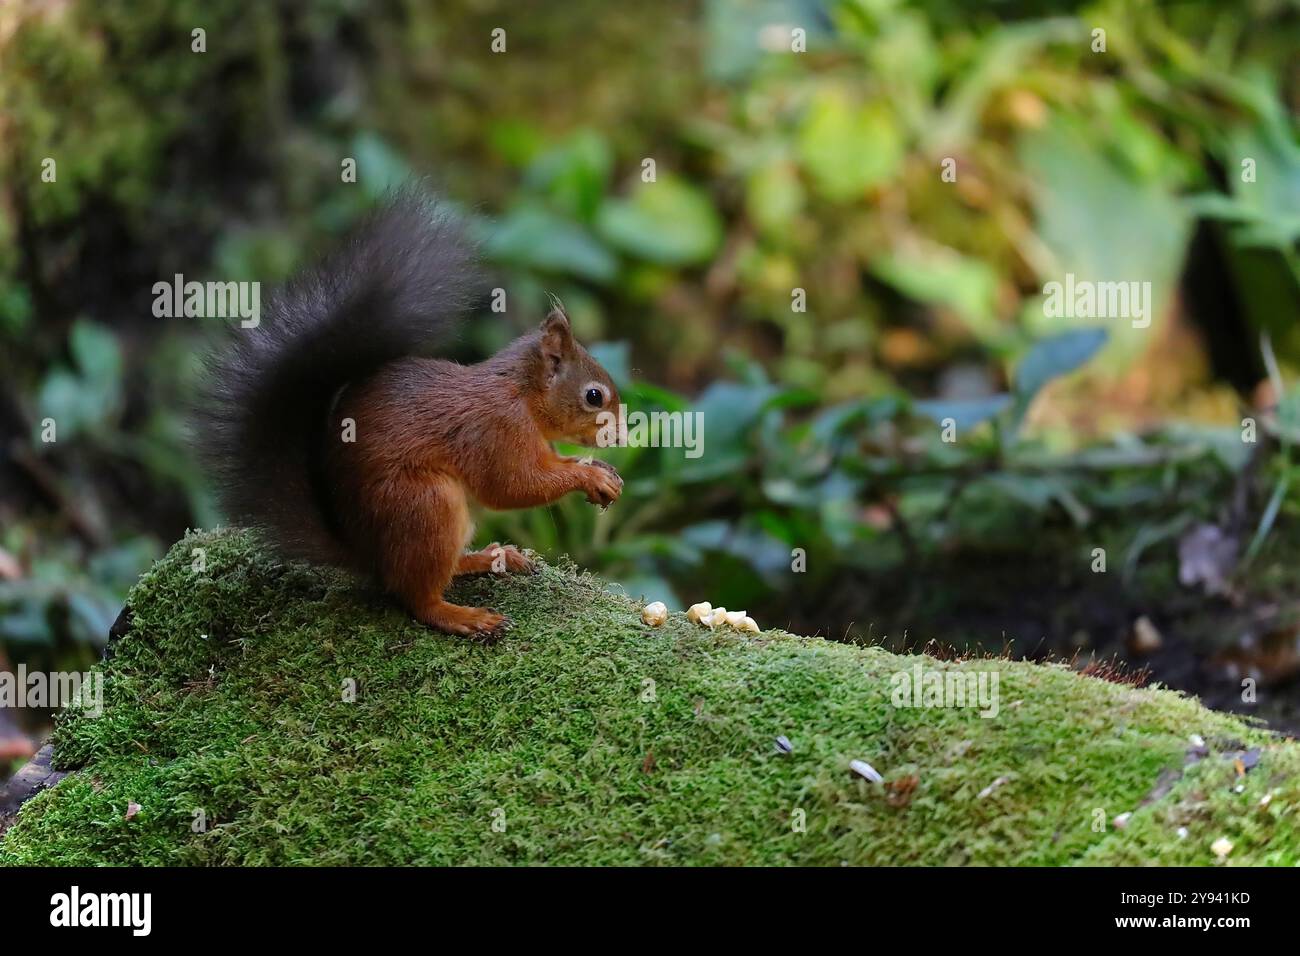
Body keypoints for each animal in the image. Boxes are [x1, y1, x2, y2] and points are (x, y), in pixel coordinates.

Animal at [196, 188, 623, 639]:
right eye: (594, 396)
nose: (620, 437)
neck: (522, 395)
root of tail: (365, 553)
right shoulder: (495, 429)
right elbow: (513, 485)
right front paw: (588, 476)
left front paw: (599, 471)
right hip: (425, 506)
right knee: (416, 596)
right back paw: (462, 616)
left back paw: (488, 558)